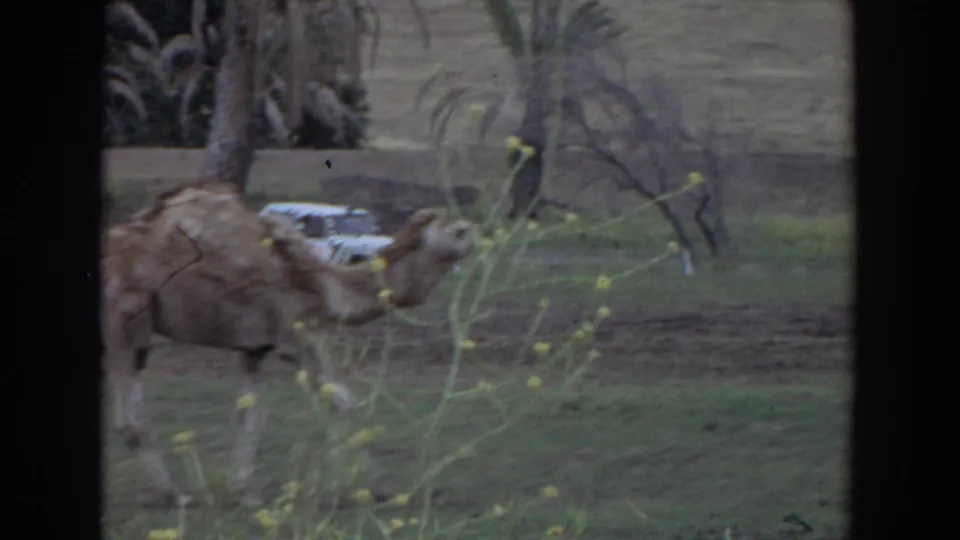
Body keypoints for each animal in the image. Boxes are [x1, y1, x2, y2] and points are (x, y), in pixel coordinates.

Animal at [103, 181, 475, 507]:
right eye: (458, 231)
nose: (475, 239)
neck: (323, 284)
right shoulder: (296, 336)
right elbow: (344, 401)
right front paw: (369, 488)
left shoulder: (255, 349)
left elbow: (250, 415)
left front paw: (244, 492)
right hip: (123, 323)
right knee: (131, 422)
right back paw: (176, 495)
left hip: (134, 338)